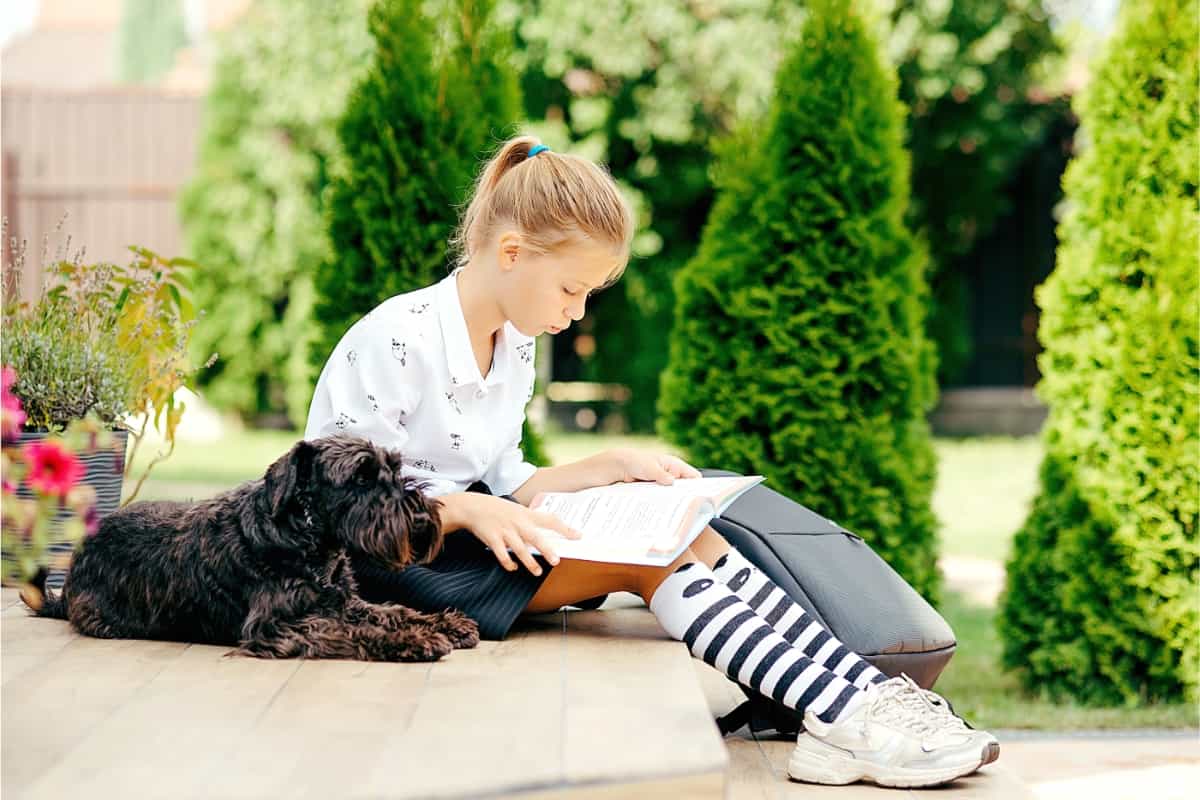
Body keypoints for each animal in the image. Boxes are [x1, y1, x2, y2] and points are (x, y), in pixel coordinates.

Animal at [28, 434, 477, 662]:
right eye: (361, 477)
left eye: (394, 468)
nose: (420, 518)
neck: (304, 539)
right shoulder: (275, 627)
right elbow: (349, 631)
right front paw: (413, 641)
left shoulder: (344, 600)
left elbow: (391, 610)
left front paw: (443, 623)